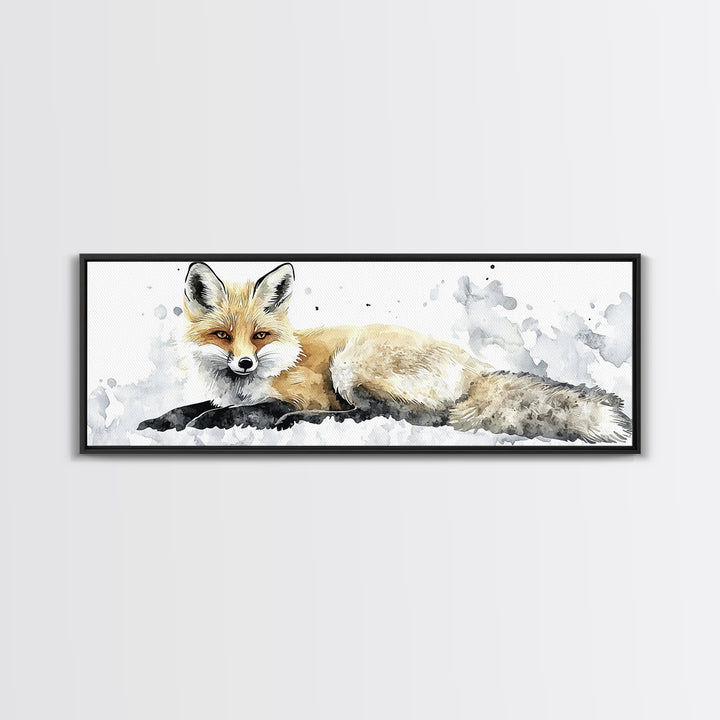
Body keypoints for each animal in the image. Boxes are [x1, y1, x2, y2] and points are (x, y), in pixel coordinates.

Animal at [138, 261, 632, 443]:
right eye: (223, 336)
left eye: (259, 336)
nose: (244, 362)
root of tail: (475, 368)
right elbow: (187, 407)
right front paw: (156, 423)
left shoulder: (296, 393)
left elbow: (240, 411)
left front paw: (211, 423)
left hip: (350, 366)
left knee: (391, 415)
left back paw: (297, 422)